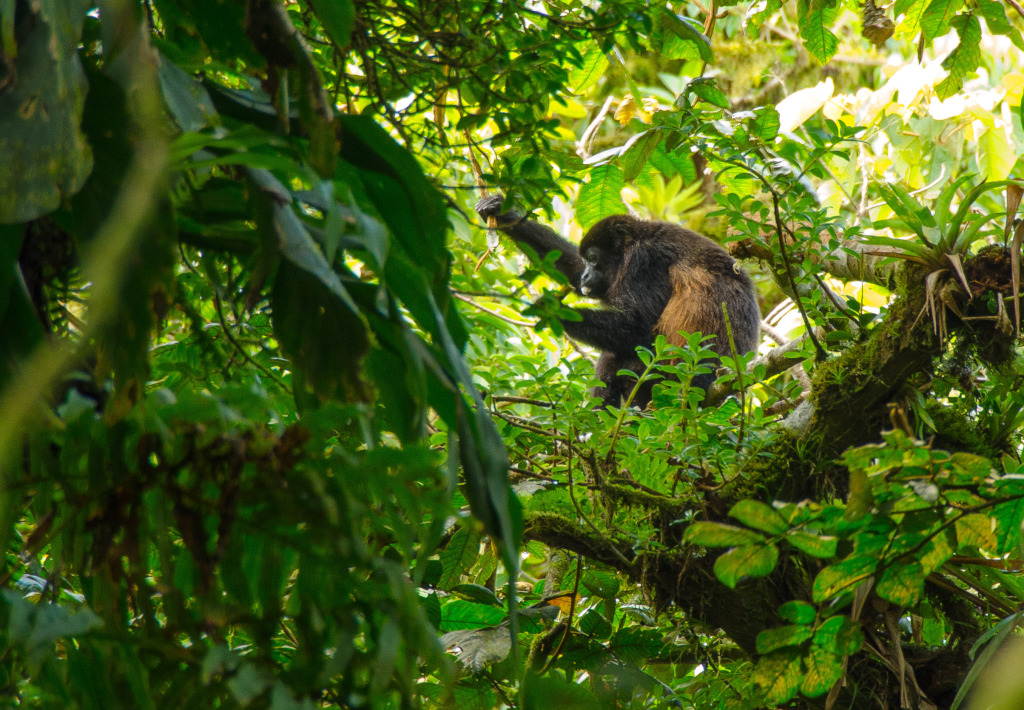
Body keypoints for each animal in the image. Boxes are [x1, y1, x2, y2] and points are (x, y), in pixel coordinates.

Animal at [475, 193, 757, 407]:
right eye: (586, 261)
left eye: (593, 258)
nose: (586, 274)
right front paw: (502, 213)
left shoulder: (643, 260)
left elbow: (638, 325)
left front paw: (552, 308)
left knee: (614, 355)